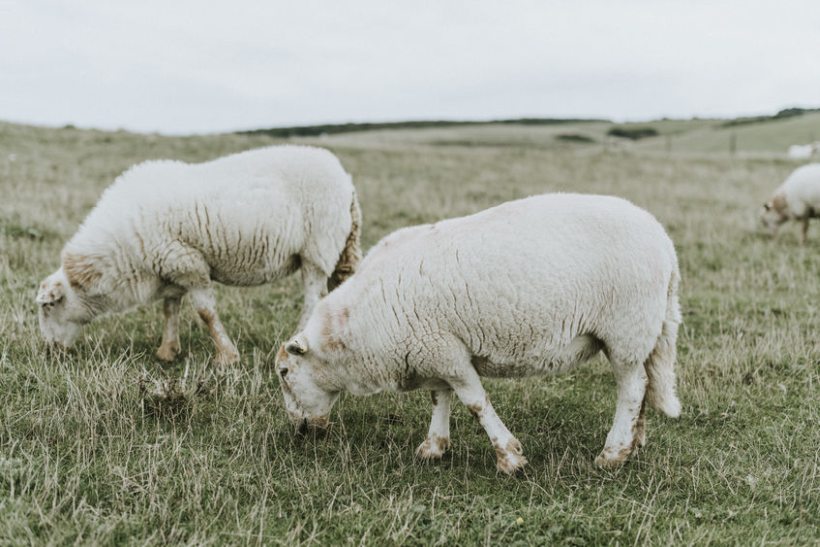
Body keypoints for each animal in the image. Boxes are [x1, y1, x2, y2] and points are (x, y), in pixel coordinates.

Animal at [34, 146, 362, 364]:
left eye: (48, 307)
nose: (49, 351)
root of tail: (346, 180)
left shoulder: (189, 264)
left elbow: (205, 313)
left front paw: (227, 357)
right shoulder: (171, 267)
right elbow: (169, 309)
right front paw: (167, 351)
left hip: (317, 248)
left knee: (313, 298)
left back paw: (296, 337)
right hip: (338, 248)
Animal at [272, 195, 684, 474]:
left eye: (284, 372)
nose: (298, 431)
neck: (357, 327)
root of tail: (665, 243)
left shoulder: (447, 352)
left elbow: (475, 402)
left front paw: (509, 457)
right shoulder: (434, 347)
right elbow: (440, 398)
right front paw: (434, 447)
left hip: (627, 328)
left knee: (632, 388)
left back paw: (612, 454)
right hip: (640, 332)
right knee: (645, 384)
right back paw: (633, 442)